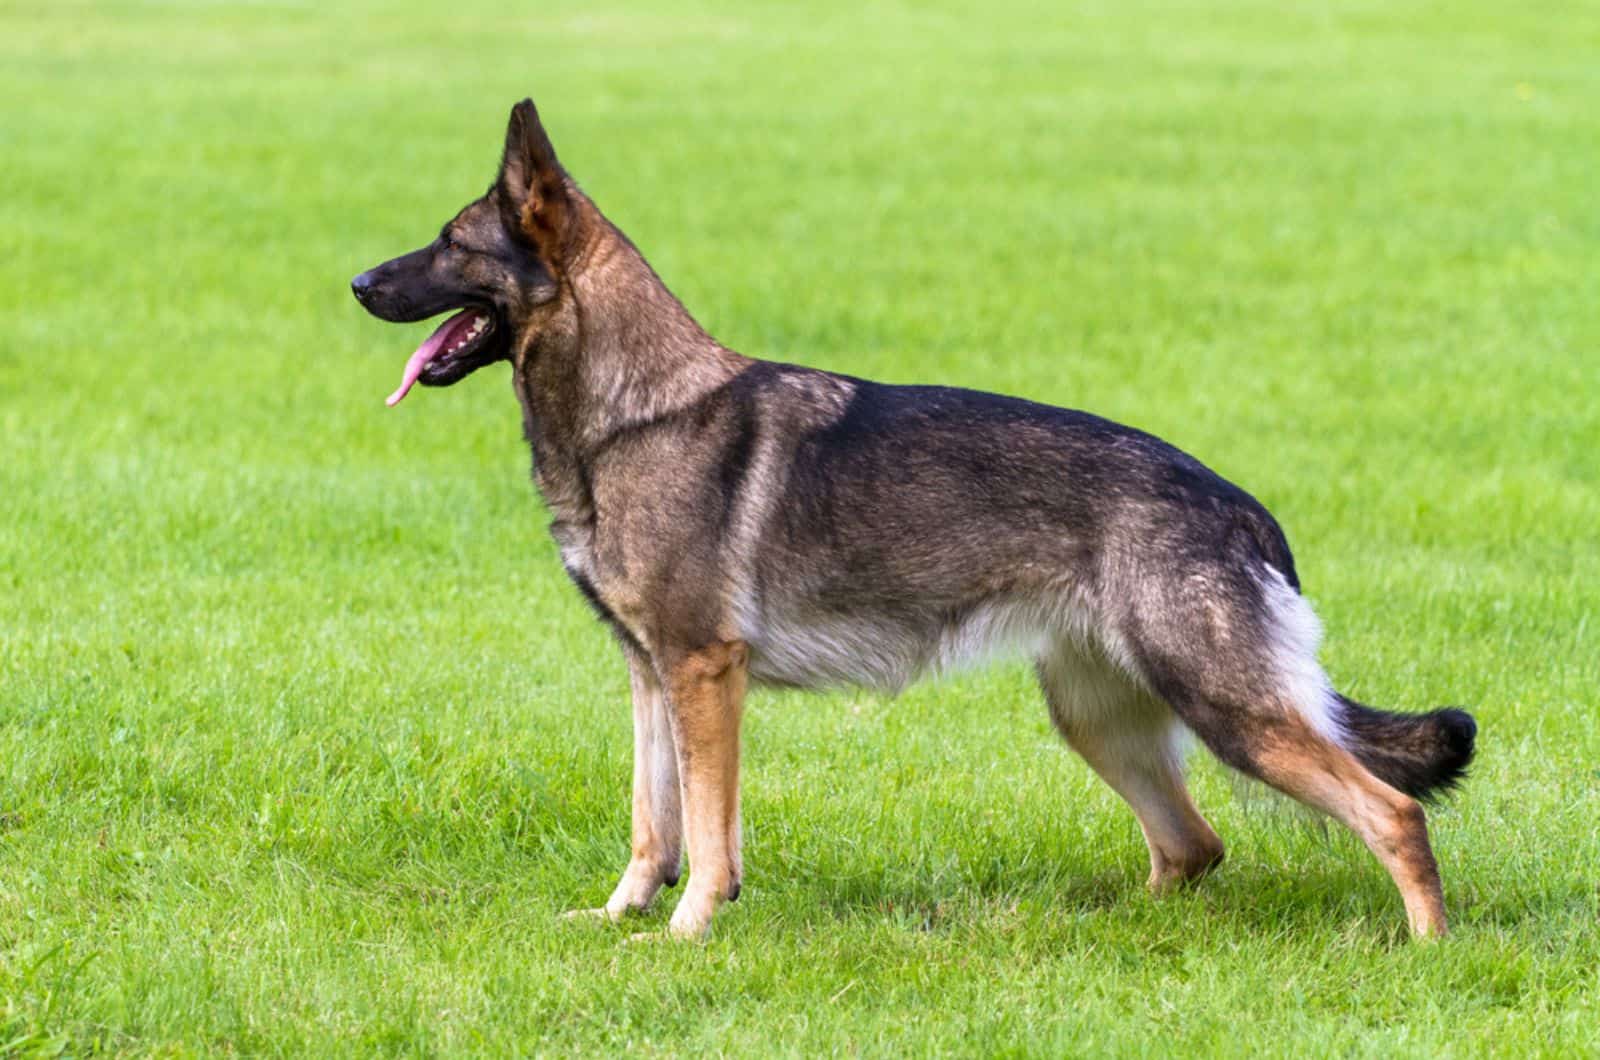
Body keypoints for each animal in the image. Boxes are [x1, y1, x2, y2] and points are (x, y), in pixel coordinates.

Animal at [350, 99, 1472, 941]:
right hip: (1099, 715)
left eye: (450, 244)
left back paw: (1426, 949)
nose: (356, 280)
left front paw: (688, 931)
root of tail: (1241, 509)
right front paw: (624, 915)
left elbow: (705, 833)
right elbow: (651, 821)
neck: (637, 407)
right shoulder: (650, 673)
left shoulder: (702, 673)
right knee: (1192, 847)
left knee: (1392, 813)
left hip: (1224, 707)